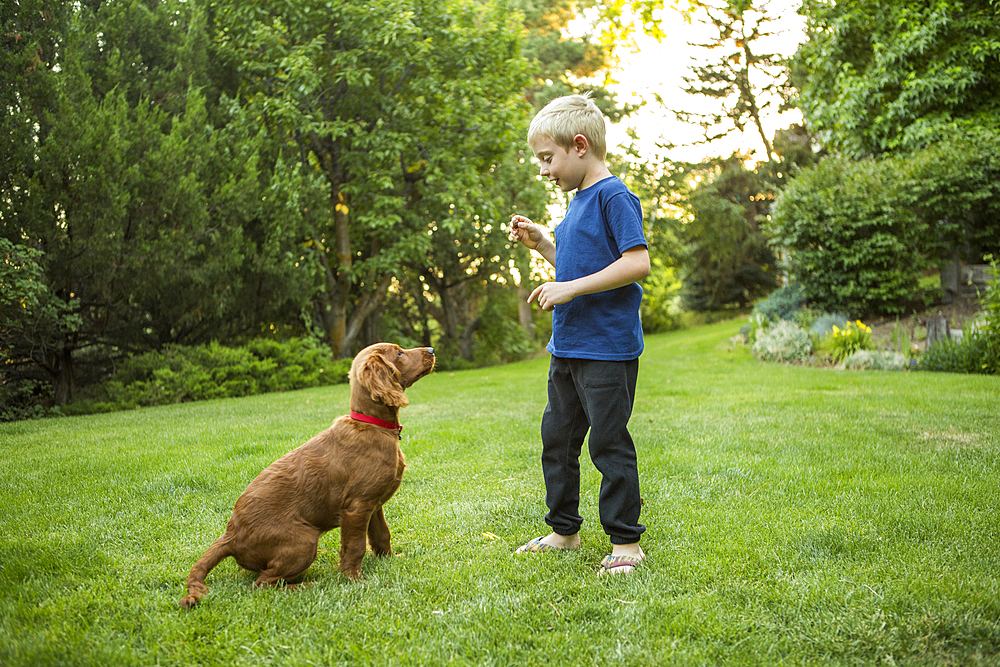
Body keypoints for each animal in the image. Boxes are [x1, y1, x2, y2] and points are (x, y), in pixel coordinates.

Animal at [180, 342, 434, 608]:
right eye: (399, 353)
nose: (431, 349)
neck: (373, 425)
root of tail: (231, 535)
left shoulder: (373, 504)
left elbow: (382, 535)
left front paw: (390, 560)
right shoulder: (356, 507)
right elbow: (355, 546)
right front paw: (355, 580)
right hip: (304, 540)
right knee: (262, 584)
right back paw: (309, 585)